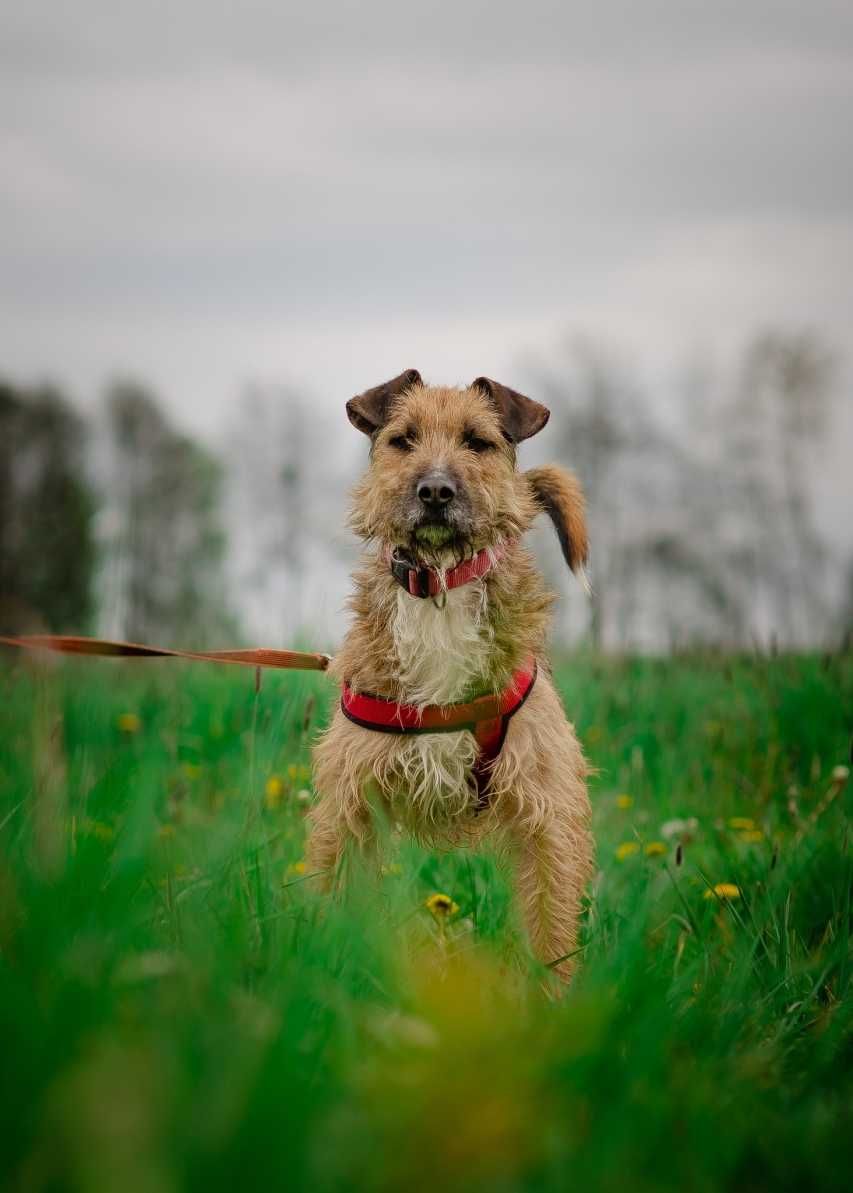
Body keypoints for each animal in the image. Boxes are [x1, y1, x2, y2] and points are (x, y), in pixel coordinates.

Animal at [307, 369, 594, 978]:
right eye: (403, 440)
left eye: (476, 442)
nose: (436, 491)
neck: (438, 587)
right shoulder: (350, 803)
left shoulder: (547, 816)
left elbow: (552, 934)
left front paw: (554, 998)